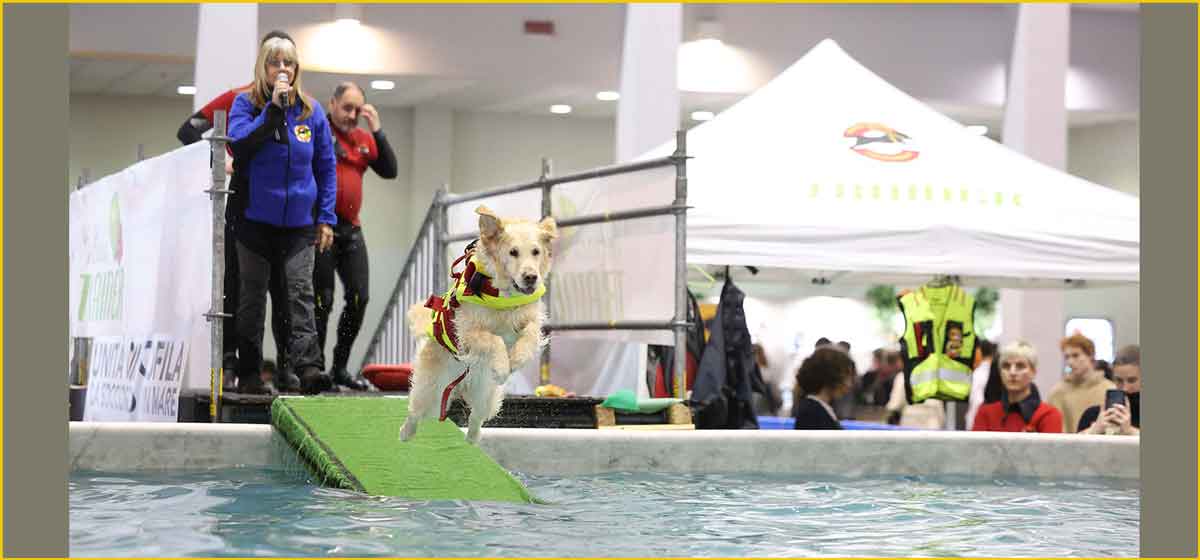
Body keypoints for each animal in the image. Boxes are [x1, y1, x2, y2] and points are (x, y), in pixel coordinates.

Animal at [398, 203, 556, 446]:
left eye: (536, 252)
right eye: (513, 252)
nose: (531, 277)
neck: (504, 295)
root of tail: (462, 384)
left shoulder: (529, 318)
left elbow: (529, 334)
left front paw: (517, 358)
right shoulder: (467, 331)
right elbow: (494, 339)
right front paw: (502, 366)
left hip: (486, 395)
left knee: (476, 417)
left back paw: (473, 440)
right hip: (431, 392)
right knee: (416, 413)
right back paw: (405, 433)